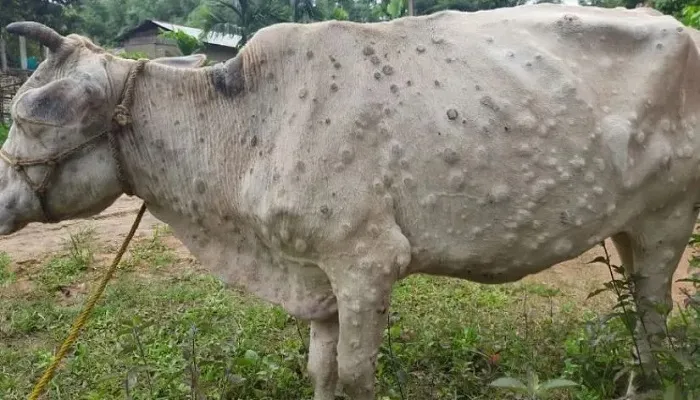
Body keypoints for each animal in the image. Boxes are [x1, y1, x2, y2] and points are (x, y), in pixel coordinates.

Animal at [1, 3, 700, 400]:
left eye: (32, 115)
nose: (2, 201)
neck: (250, 124)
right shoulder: (315, 277)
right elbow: (322, 373)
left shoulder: (367, 264)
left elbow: (358, 377)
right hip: (627, 225)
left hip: (669, 217)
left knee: (652, 314)